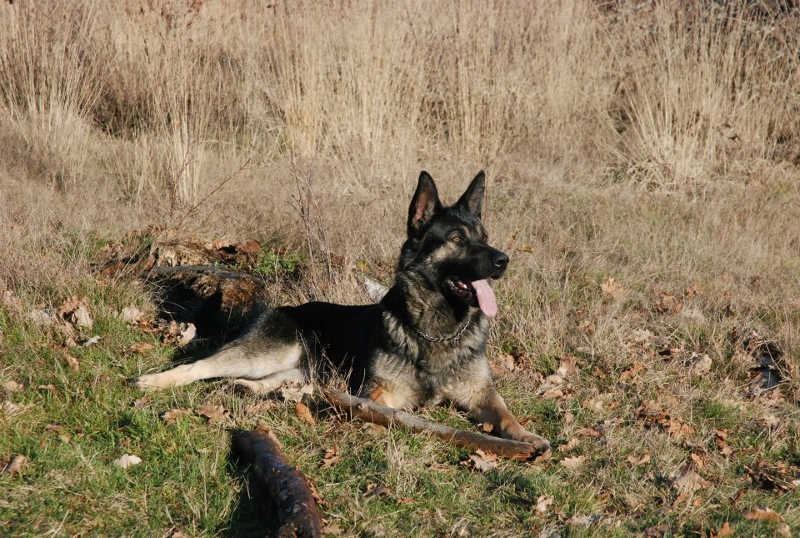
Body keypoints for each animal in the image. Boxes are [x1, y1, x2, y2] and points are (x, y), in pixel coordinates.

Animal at [136, 170, 552, 450]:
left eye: (484, 237)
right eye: (456, 239)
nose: (503, 260)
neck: (438, 329)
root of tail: (280, 309)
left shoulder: (482, 392)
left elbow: (505, 412)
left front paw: (526, 435)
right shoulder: (379, 393)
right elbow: (394, 414)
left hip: (298, 372)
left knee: (275, 383)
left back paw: (258, 389)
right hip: (266, 351)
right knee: (199, 366)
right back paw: (154, 382)